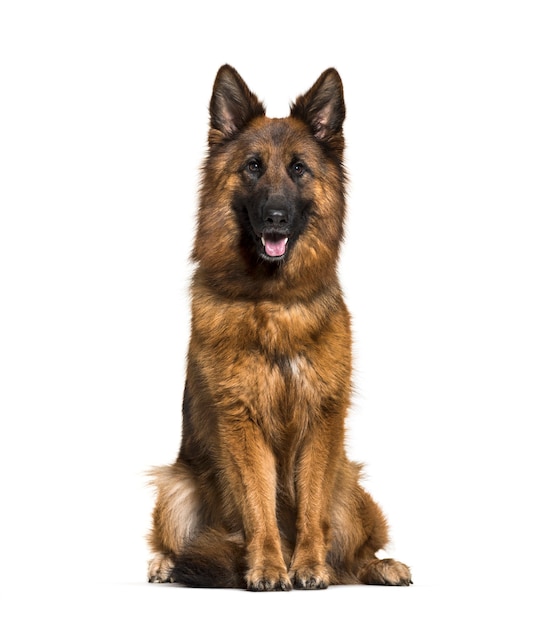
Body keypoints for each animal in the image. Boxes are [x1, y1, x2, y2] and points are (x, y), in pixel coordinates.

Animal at [146, 66, 412, 588]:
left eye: (298, 169)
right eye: (252, 167)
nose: (275, 217)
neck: (273, 302)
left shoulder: (321, 420)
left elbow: (311, 505)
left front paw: (308, 565)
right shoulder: (242, 421)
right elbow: (258, 503)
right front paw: (269, 565)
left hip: (349, 486)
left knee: (354, 552)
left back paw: (379, 566)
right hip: (176, 488)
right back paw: (168, 563)